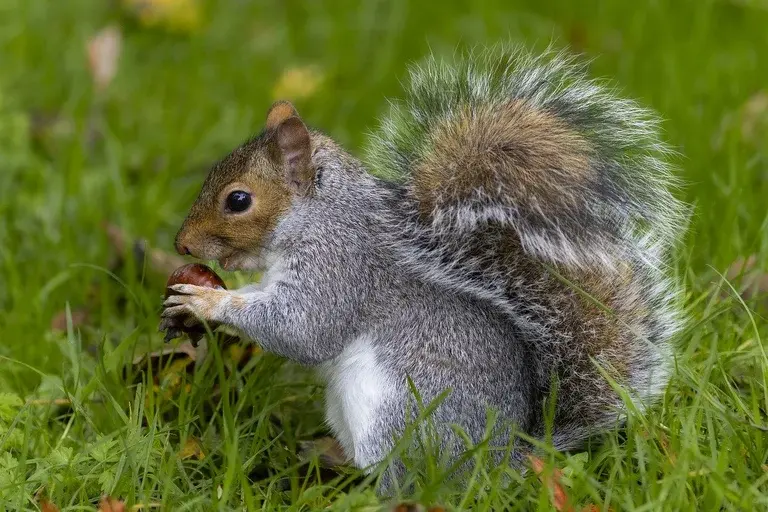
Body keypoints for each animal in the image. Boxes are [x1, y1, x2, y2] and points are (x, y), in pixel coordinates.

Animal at [159, 46, 688, 486]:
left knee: (407, 479)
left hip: (397, 416)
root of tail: (501, 461)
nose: (182, 245)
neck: (318, 216)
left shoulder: (339, 268)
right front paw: (192, 301)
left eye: (238, 200)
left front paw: (206, 301)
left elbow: (303, 330)